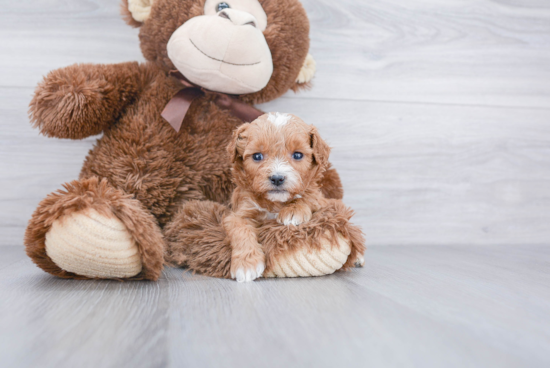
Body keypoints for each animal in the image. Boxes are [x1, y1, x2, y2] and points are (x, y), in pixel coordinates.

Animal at [223, 113, 332, 284]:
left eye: (298, 155)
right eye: (257, 156)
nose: (277, 178)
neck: (275, 203)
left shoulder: (320, 200)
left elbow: (308, 196)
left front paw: (293, 210)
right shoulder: (239, 213)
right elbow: (240, 230)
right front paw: (246, 264)